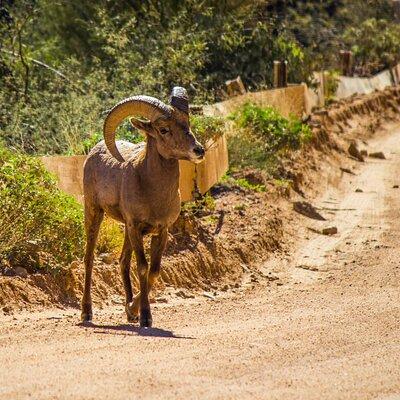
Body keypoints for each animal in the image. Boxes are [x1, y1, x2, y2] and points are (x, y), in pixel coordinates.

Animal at [82, 86, 205, 324]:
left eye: (187, 123)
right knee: (89, 259)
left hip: (126, 230)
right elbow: (142, 268)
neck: (153, 192)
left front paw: (133, 309)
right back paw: (86, 312)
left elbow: (154, 271)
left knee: (123, 260)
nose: (198, 150)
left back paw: (129, 312)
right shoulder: (136, 227)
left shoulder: (161, 231)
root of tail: (94, 152)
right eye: (164, 129)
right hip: (94, 213)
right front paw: (146, 318)